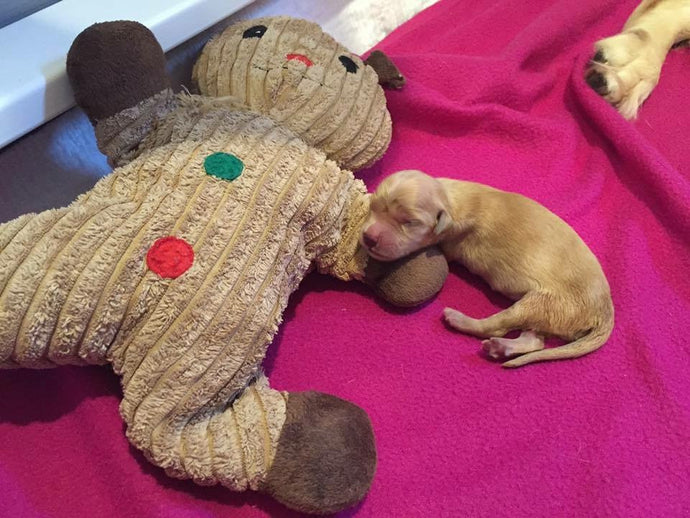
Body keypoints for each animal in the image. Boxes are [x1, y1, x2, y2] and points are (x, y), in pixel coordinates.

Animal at [360, 171, 612, 370]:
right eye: (373, 208)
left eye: (409, 221)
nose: (368, 237)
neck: (450, 199)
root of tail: (605, 310)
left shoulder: (449, 241)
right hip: (549, 315)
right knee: (534, 339)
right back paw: (501, 348)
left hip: (541, 303)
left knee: (497, 326)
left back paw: (460, 321)